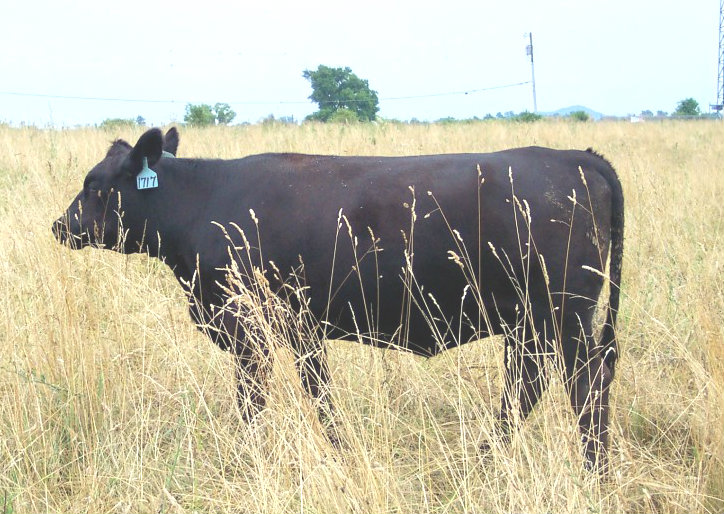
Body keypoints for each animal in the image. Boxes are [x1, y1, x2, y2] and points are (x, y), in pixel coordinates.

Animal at [53, 128, 624, 472]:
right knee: (527, 384)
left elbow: (261, 400)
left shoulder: (250, 328)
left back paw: (593, 473)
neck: (206, 201)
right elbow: (316, 392)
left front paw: (253, 459)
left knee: (584, 386)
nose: (61, 225)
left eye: (95, 185)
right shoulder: (297, 328)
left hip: (565, 315)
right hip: (529, 322)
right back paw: (485, 458)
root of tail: (574, 157)